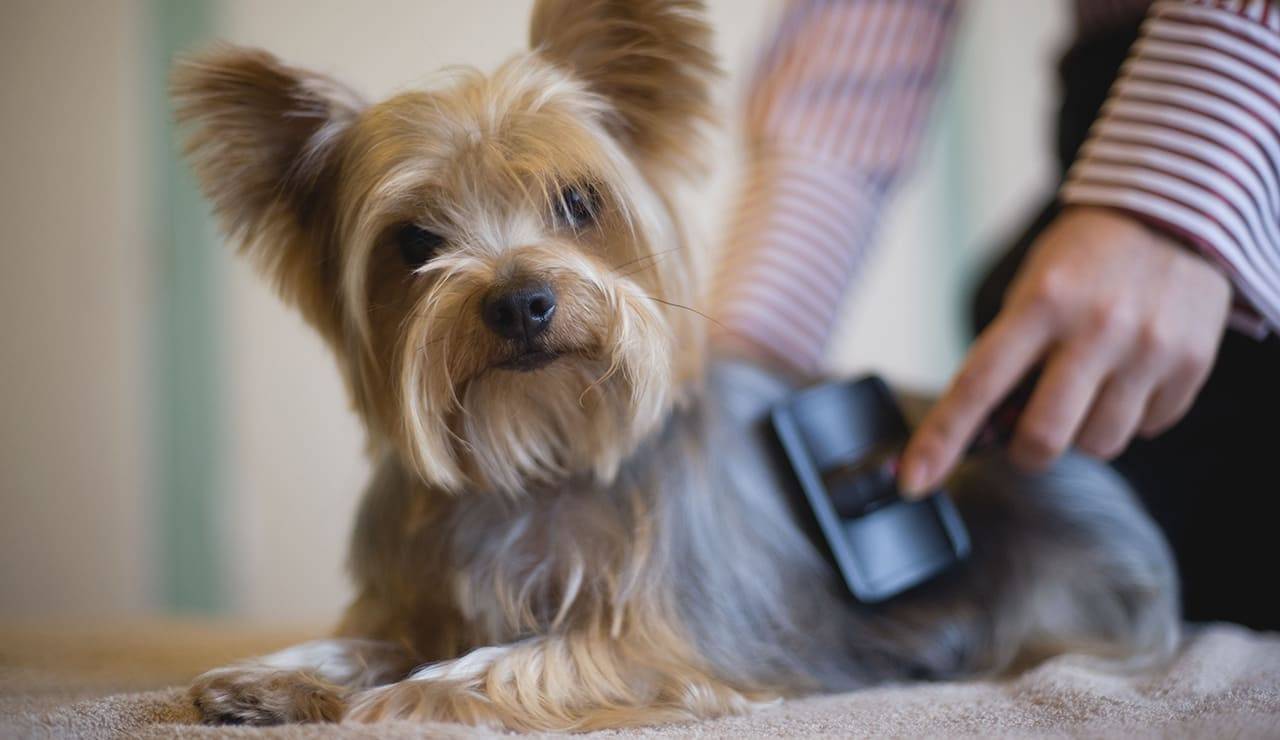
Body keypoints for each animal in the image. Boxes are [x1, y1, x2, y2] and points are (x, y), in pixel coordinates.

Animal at [173, 0, 1178, 731]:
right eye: (413, 241)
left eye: (578, 201)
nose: (520, 302)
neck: (538, 447)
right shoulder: (415, 596)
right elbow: (371, 638)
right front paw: (273, 678)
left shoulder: (671, 646)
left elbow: (529, 661)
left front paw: (412, 694)